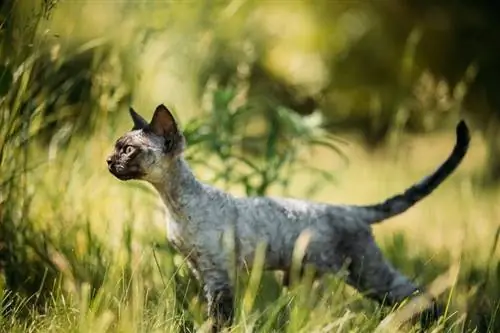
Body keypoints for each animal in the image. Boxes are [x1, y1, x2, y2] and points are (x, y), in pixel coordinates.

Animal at [105, 103, 468, 330]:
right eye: (115, 146)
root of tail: (351, 209)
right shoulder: (200, 270)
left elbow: (220, 320)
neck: (174, 205)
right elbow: (211, 315)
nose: (108, 161)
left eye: (128, 150)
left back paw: (435, 324)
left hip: (368, 271)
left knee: (416, 294)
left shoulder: (219, 274)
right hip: (305, 279)